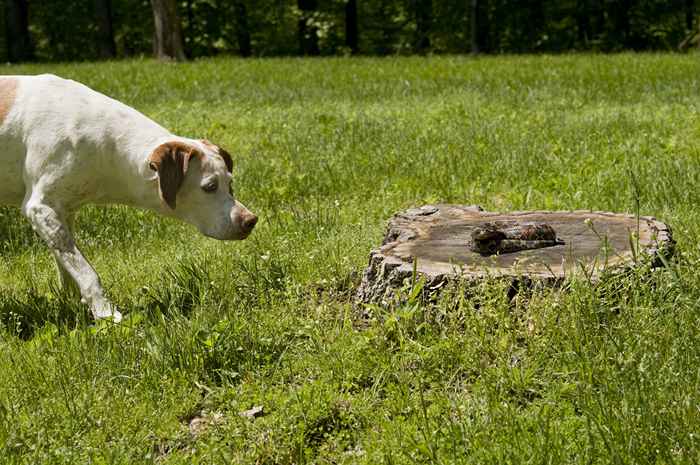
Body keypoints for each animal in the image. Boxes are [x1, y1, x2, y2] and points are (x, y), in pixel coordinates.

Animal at [0, 74, 258, 320]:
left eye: (230, 183)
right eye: (210, 187)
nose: (250, 220)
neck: (104, 143)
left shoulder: (63, 211)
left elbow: (66, 264)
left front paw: (72, 305)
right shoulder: (41, 208)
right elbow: (86, 271)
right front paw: (105, 312)